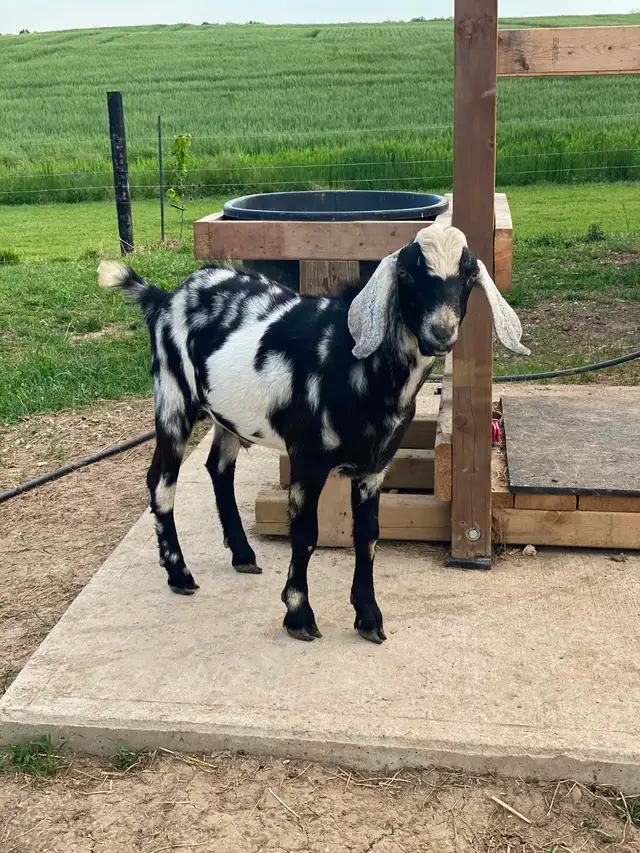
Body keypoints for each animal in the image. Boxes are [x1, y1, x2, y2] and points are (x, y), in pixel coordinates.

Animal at [99, 224, 529, 644]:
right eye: (406, 273)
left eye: (469, 274)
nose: (440, 331)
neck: (353, 363)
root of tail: (165, 297)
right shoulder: (306, 458)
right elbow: (306, 534)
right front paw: (299, 615)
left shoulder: (374, 467)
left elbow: (368, 535)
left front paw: (369, 617)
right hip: (173, 395)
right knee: (161, 481)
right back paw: (179, 573)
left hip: (227, 414)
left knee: (218, 467)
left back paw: (242, 555)